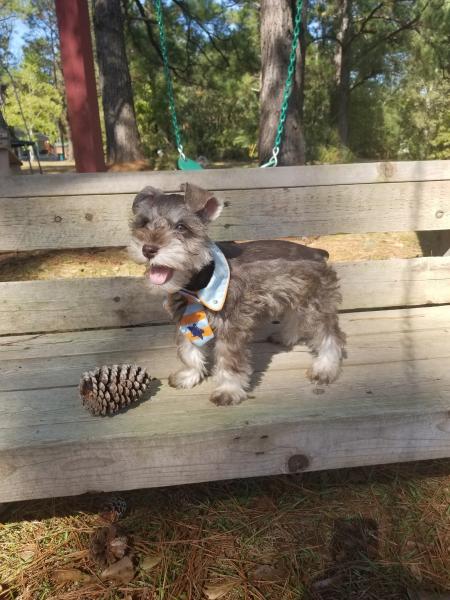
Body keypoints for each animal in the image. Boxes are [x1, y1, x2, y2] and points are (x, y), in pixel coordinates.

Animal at [128, 183, 346, 408]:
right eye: (144, 223)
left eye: (181, 227)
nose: (148, 249)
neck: (198, 282)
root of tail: (318, 252)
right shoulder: (185, 318)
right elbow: (189, 351)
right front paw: (189, 375)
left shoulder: (231, 328)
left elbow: (229, 362)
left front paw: (228, 390)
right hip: (292, 297)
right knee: (294, 317)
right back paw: (285, 337)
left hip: (316, 305)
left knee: (330, 336)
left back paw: (325, 368)